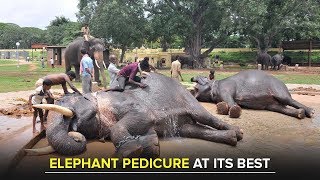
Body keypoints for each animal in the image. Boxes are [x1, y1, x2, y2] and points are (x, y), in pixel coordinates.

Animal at [25, 72, 242, 157]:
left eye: (62, 103)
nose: (74, 134)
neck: (97, 98)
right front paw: (151, 145)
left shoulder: (130, 103)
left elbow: (142, 117)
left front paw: (130, 152)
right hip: (183, 124)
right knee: (192, 129)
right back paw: (231, 138)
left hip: (187, 99)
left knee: (204, 117)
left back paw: (238, 133)